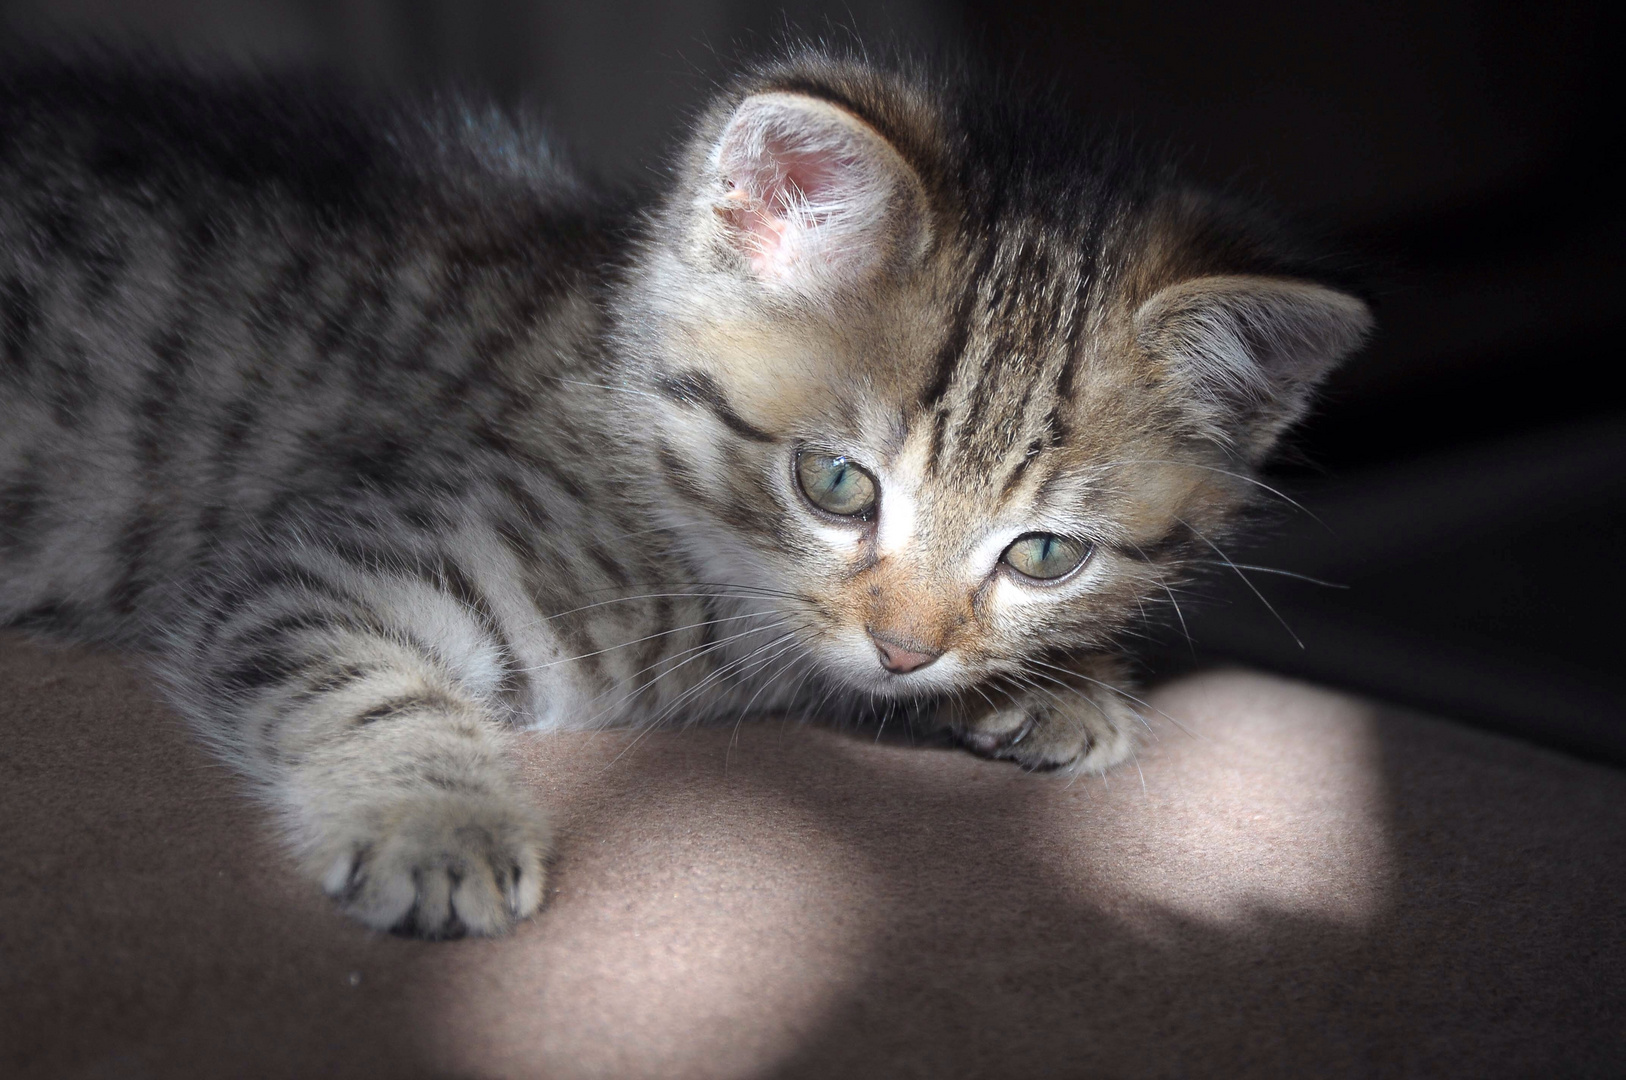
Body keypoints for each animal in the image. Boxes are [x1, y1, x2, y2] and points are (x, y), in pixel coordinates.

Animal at [0, 50, 1372, 936]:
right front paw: (439, 825)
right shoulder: (309, 569)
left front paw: (1056, 687)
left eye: (1044, 556)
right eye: (835, 484)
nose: (907, 650)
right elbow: (368, 683)